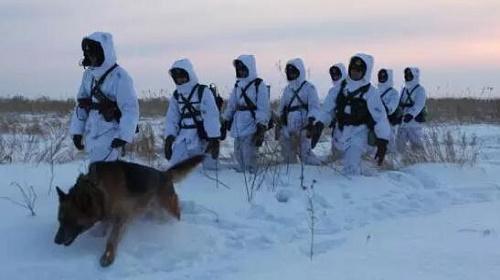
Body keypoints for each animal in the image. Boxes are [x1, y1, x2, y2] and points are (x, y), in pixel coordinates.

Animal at [54, 155, 203, 266]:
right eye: (60, 220)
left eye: (70, 221)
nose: (56, 241)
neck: (98, 190)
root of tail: (164, 174)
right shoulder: (108, 215)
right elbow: (103, 228)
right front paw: (96, 235)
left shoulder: (122, 219)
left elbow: (111, 240)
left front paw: (108, 256)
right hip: (154, 210)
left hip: (168, 210)